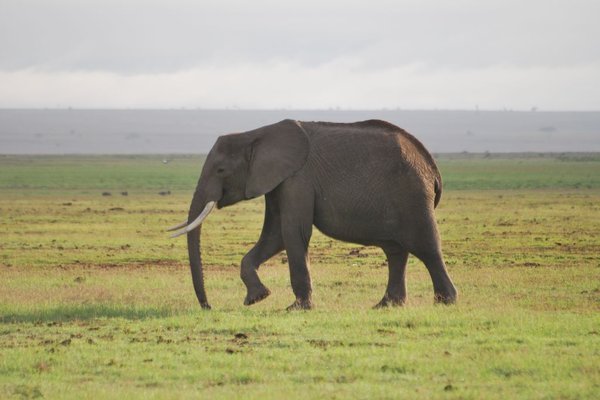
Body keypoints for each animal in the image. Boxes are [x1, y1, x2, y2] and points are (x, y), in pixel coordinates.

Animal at [169, 118, 460, 310]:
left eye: (220, 170)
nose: (208, 307)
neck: (255, 134)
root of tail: (432, 168)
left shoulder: (297, 178)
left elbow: (292, 232)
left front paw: (296, 308)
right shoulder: (277, 182)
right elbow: (275, 236)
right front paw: (257, 298)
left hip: (412, 194)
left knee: (427, 247)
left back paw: (445, 302)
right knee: (396, 251)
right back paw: (386, 305)